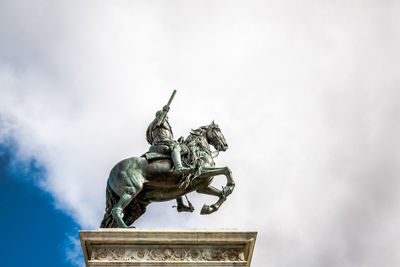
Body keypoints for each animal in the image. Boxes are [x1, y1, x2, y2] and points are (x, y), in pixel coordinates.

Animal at [100, 121, 236, 228]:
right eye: (217, 129)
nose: (225, 145)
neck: (198, 151)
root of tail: (111, 174)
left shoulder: (202, 186)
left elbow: (221, 195)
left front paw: (209, 208)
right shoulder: (201, 172)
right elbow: (226, 169)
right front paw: (230, 186)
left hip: (137, 206)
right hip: (132, 190)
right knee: (115, 210)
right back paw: (126, 229)